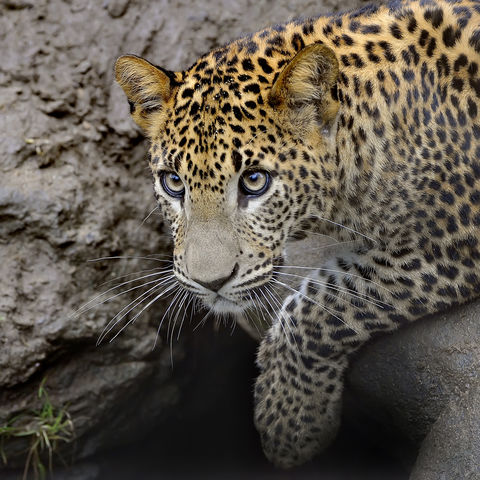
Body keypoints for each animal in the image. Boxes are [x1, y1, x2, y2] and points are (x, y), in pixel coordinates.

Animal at [114, 0, 480, 468]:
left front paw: (288, 423)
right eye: (173, 183)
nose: (210, 283)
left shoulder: (450, 241)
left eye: (255, 181)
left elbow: (327, 302)